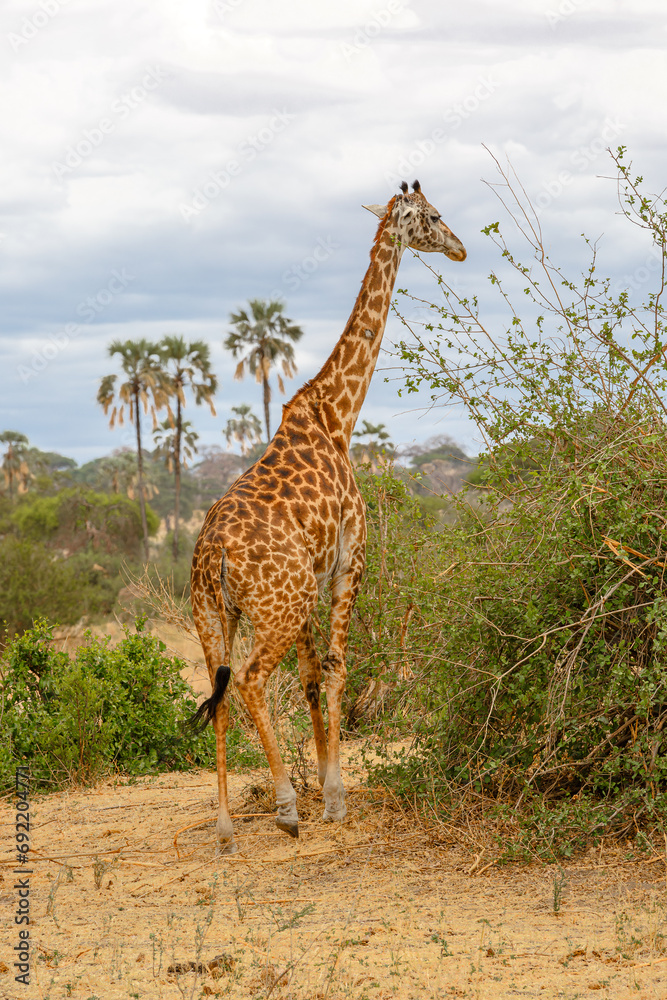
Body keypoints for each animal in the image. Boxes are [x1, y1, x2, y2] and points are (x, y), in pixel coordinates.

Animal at [190, 180, 466, 854]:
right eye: (435, 216)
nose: (461, 248)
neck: (337, 415)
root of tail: (216, 556)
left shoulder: (313, 577)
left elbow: (313, 677)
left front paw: (324, 785)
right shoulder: (348, 561)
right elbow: (337, 669)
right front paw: (335, 799)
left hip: (213, 615)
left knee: (219, 691)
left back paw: (227, 829)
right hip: (275, 608)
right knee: (251, 681)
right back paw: (285, 808)